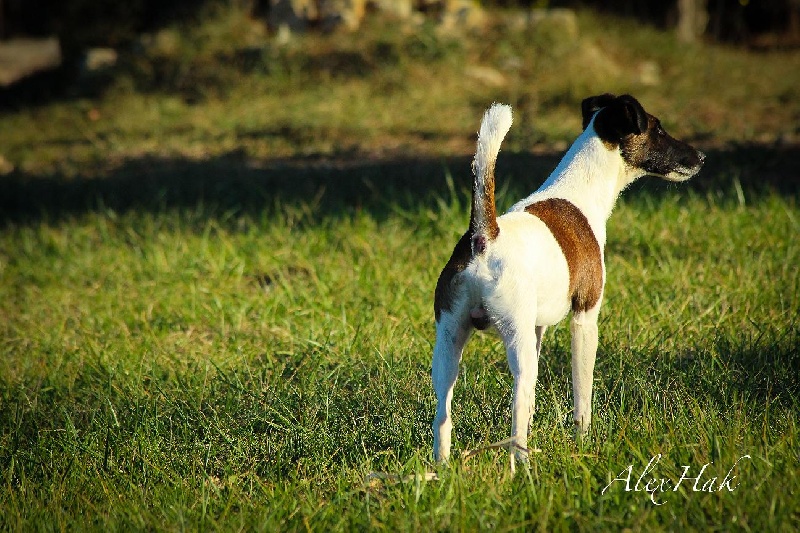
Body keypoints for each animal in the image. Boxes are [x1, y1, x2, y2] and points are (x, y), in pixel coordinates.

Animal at [434, 93, 704, 468]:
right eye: (659, 129)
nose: (701, 157)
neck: (580, 190)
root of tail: (484, 238)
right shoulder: (585, 319)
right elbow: (582, 394)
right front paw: (584, 442)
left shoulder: (537, 329)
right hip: (515, 340)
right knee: (518, 406)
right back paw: (522, 467)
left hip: (449, 343)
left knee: (442, 414)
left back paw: (442, 469)